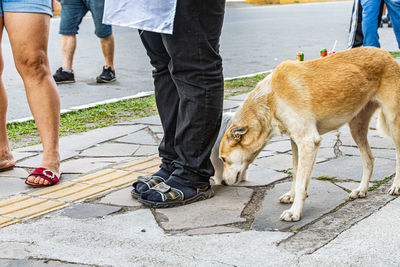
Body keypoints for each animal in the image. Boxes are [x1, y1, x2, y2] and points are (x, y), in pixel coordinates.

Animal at [219, 47, 400, 222]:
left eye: (223, 159)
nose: (223, 182)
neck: (271, 98)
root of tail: (386, 54)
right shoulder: (295, 142)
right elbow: (295, 173)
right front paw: (291, 196)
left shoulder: (308, 142)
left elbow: (301, 182)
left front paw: (295, 212)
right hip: (356, 126)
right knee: (369, 159)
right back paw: (362, 189)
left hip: (393, 122)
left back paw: (396, 186)